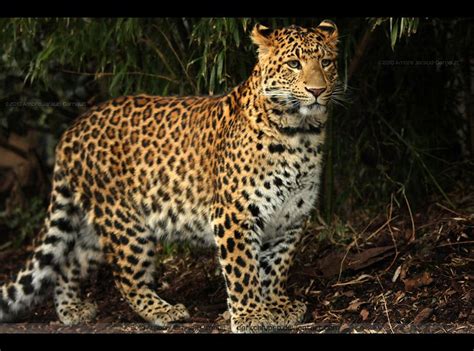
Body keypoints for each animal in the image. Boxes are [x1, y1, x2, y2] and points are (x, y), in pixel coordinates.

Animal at [0, 20, 340, 334]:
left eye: (326, 62)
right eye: (293, 64)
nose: (317, 91)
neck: (300, 134)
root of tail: (72, 129)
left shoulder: (291, 217)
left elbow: (276, 267)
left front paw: (276, 306)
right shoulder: (234, 213)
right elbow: (243, 269)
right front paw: (251, 316)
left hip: (96, 223)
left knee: (70, 261)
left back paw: (72, 309)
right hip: (125, 221)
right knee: (125, 276)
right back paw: (163, 311)